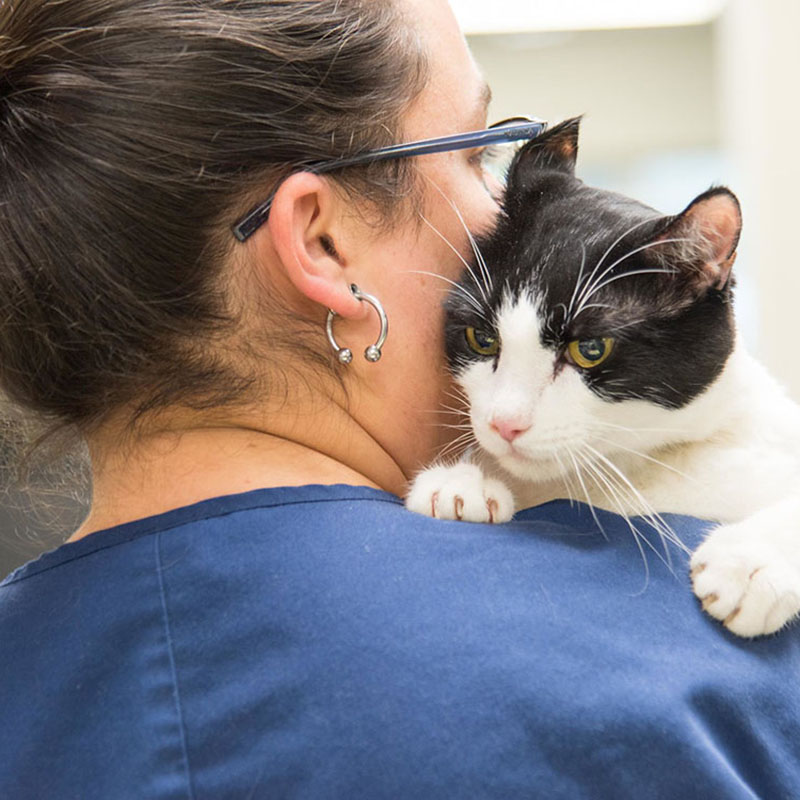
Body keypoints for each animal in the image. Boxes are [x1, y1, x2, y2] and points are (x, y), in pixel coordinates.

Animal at [410, 119, 800, 640]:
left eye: (590, 350)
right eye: (482, 338)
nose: (504, 424)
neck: (626, 471)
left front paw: (751, 564)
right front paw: (460, 485)